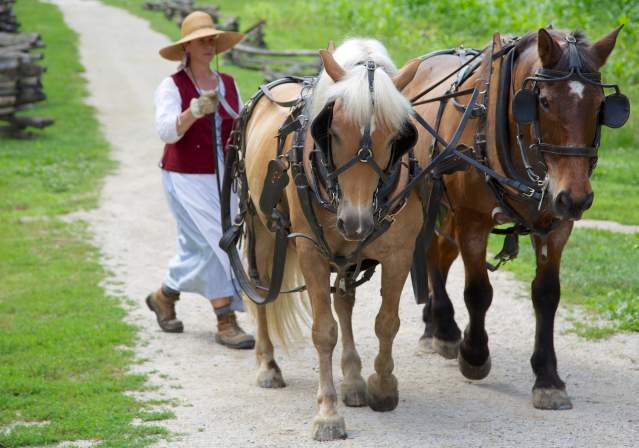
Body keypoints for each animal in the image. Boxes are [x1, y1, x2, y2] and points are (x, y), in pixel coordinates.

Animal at [240, 39, 424, 440]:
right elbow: (324, 331)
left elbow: (387, 322)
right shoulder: (311, 252)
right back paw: (267, 365)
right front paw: (327, 414)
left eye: (396, 136)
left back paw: (353, 380)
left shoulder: (399, 254)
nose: (355, 222)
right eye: (334, 131)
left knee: (345, 301)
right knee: (262, 291)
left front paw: (382, 387)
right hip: (263, 230)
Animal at [404, 24, 632, 410]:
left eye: (600, 105)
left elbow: (547, 295)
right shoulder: (472, 219)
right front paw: (474, 354)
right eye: (543, 102)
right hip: (433, 199)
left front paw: (548, 378)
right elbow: (478, 291)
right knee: (432, 253)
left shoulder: (557, 224)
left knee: (441, 254)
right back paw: (445, 329)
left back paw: (433, 325)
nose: (576, 197)